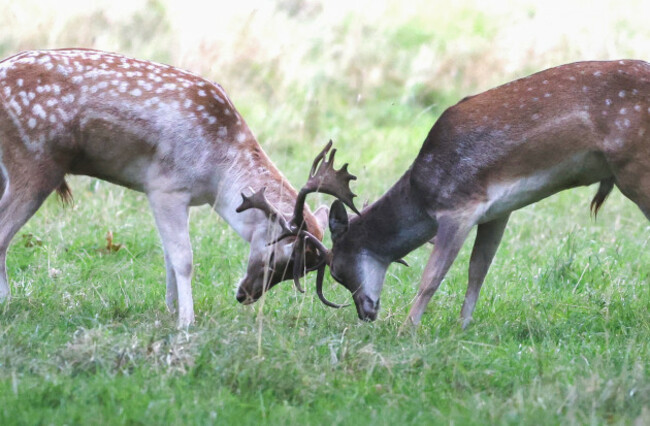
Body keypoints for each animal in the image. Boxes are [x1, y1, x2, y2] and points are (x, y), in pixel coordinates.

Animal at [0, 48, 332, 327]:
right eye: (281, 256)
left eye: (302, 269)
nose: (245, 296)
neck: (217, 178)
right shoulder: (165, 186)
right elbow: (183, 258)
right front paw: (186, 322)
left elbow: (168, 256)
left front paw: (171, 311)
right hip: (35, 162)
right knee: (4, 234)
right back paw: (7, 303)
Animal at [244, 60, 650, 328]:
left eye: (337, 271)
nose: (366, 313)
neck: (421, 194)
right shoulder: (497, 211)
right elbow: (477, 270)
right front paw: (461, 328)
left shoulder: (459, 207)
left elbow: (431, 278)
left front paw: (408, 329)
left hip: (635, 168)